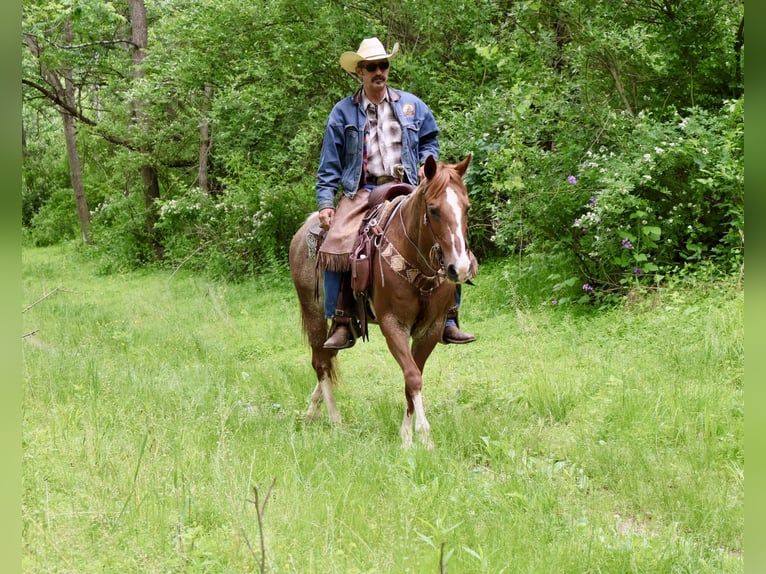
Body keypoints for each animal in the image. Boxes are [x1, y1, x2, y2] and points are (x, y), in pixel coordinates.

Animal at [288, 154, 474, 448]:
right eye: (433, 209)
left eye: (466, 208)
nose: (461, 267)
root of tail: (304, 230)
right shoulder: (392, 324)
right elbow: (413, 377)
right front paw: (422, 437)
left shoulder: (431, 329)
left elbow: (413, 376)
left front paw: (407, 435)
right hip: (313, 311)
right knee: (321, 363)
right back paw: (335, 419)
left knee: (329, 355)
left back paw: (312, 411)